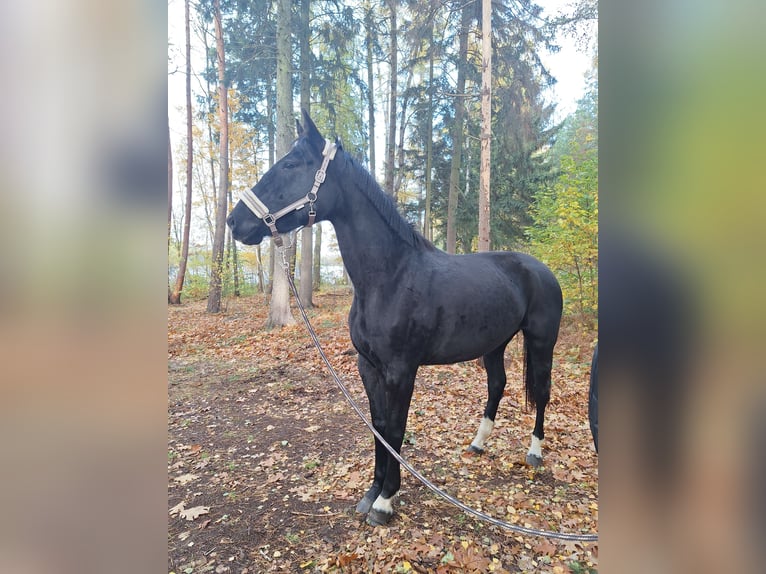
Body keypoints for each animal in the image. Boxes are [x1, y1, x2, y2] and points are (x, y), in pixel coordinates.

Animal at [227, 110, 563, 526]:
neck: (390, 277)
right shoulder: (368, 366)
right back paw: (477, 444)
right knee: (497, 385)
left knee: (543, 392)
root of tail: (540, 269)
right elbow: (379, 427)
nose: (235, 221)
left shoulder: (401, 371)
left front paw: (386, 502)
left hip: (542, 342)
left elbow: (397, 429)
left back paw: (534, 452)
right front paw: (372, 493)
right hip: (494, 344)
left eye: (291, 163)